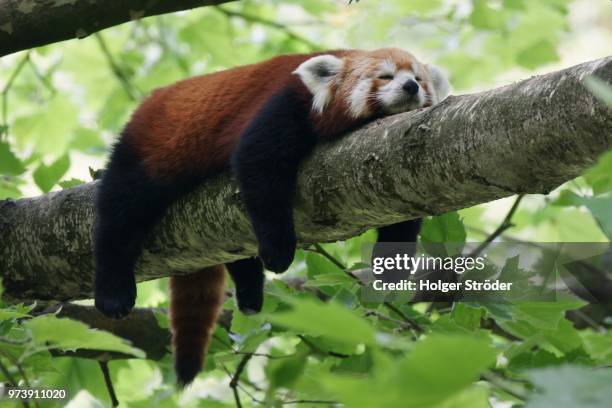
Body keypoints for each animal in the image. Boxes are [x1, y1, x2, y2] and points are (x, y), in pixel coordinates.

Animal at [94, 47, 450, 386]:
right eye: (385, 76)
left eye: (419, 78)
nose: (410, 86)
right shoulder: (284, 103)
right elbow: (257, 163)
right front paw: (279, 251)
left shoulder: (394, 161)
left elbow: (402, 210)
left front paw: (391, 268)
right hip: (151, 145)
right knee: (122, 209)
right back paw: (114, 292)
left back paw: (250, 290)